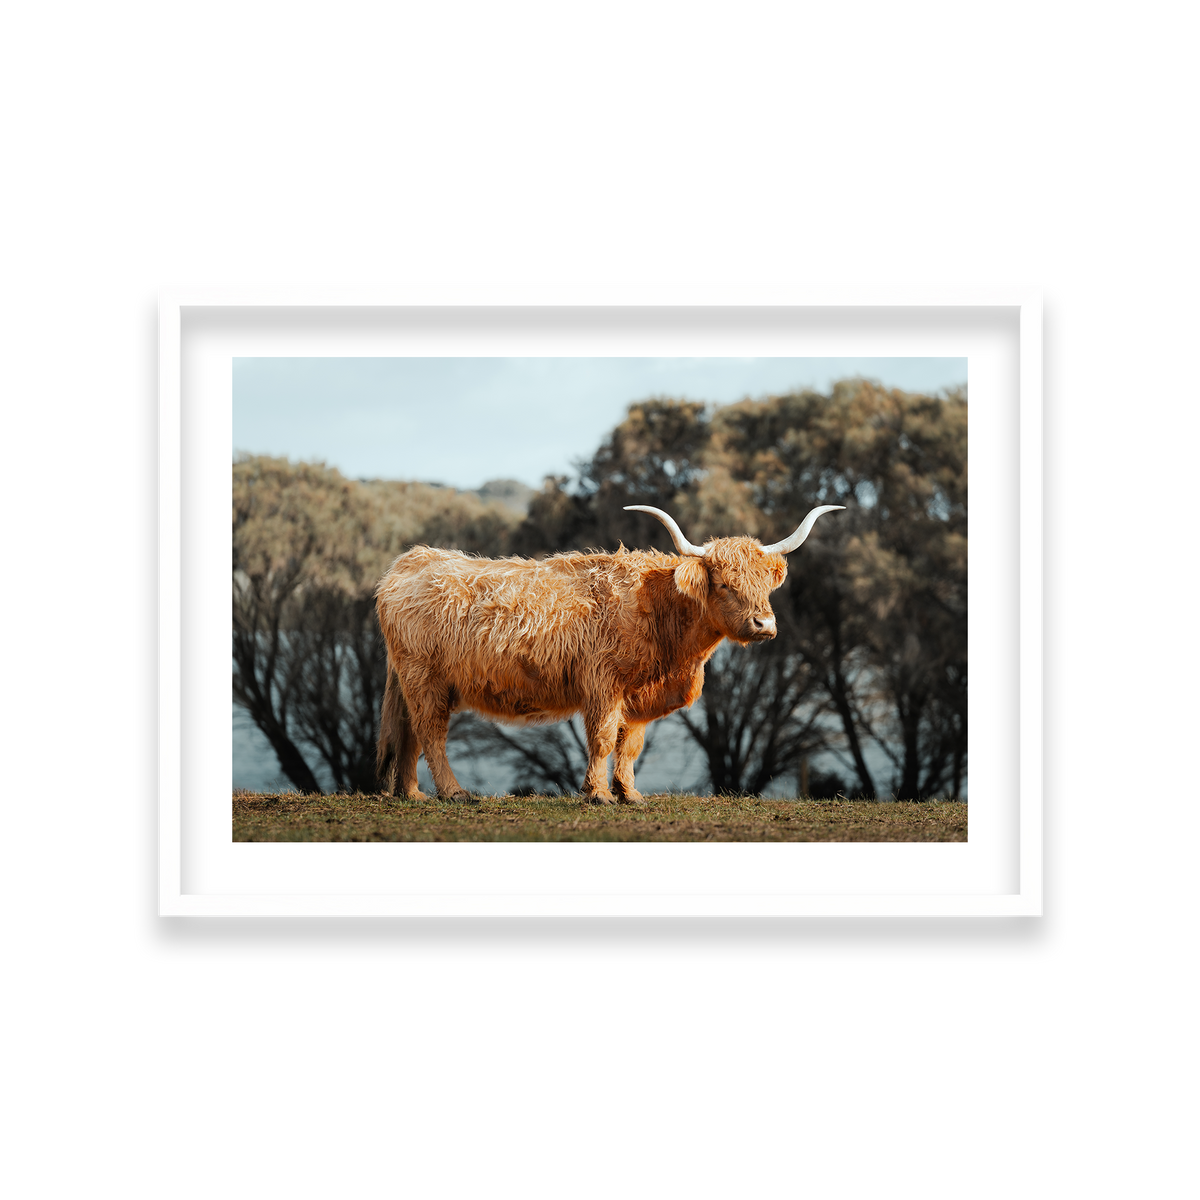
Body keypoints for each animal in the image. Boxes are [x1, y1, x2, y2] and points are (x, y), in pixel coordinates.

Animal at [375, 503, 844, 804]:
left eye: (765, 585)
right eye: (726, 584)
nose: (764, 625)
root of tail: (412, 559)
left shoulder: (637, 695)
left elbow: (630, 744)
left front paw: (630, 794)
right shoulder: (603, 684)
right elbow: (601, 739)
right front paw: (598, 794)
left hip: (414, 682)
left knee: (409, 734)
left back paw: (412, 794)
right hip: (425, 678)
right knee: (431, 733)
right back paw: (453, 793)